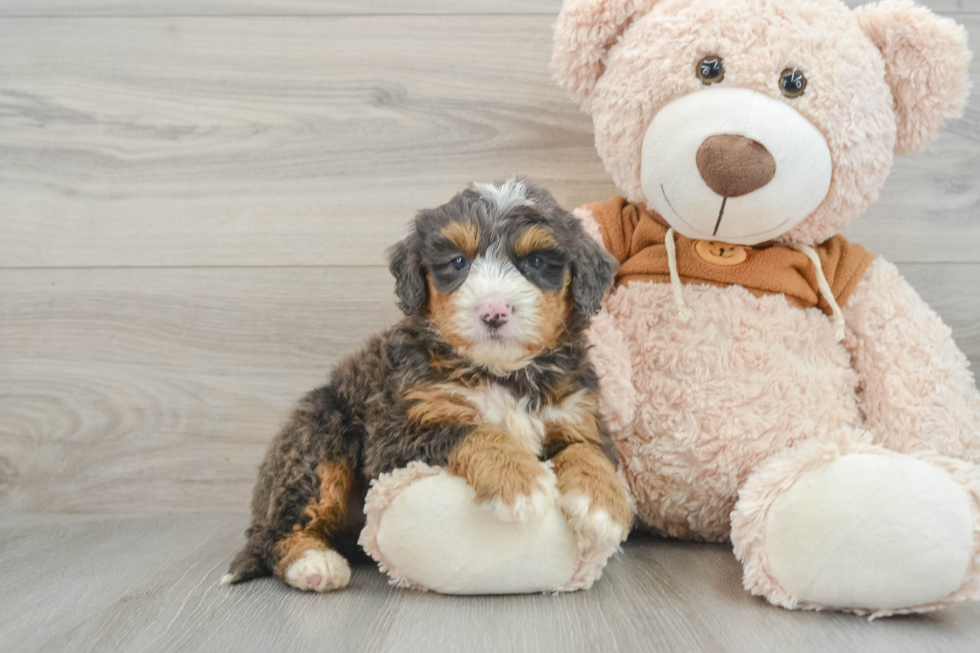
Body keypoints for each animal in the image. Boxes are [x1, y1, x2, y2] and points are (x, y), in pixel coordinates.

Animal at [222, 177, 632, 592]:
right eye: (458, 262)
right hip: (320, 439)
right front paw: (519, 480)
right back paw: (313, 563)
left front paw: (601, 505)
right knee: (277, 533)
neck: (501, 374)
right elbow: (471, 430)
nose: (494, 311)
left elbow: (586, 450)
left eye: (534, 262)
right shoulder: (396, 435)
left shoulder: (575, 411)